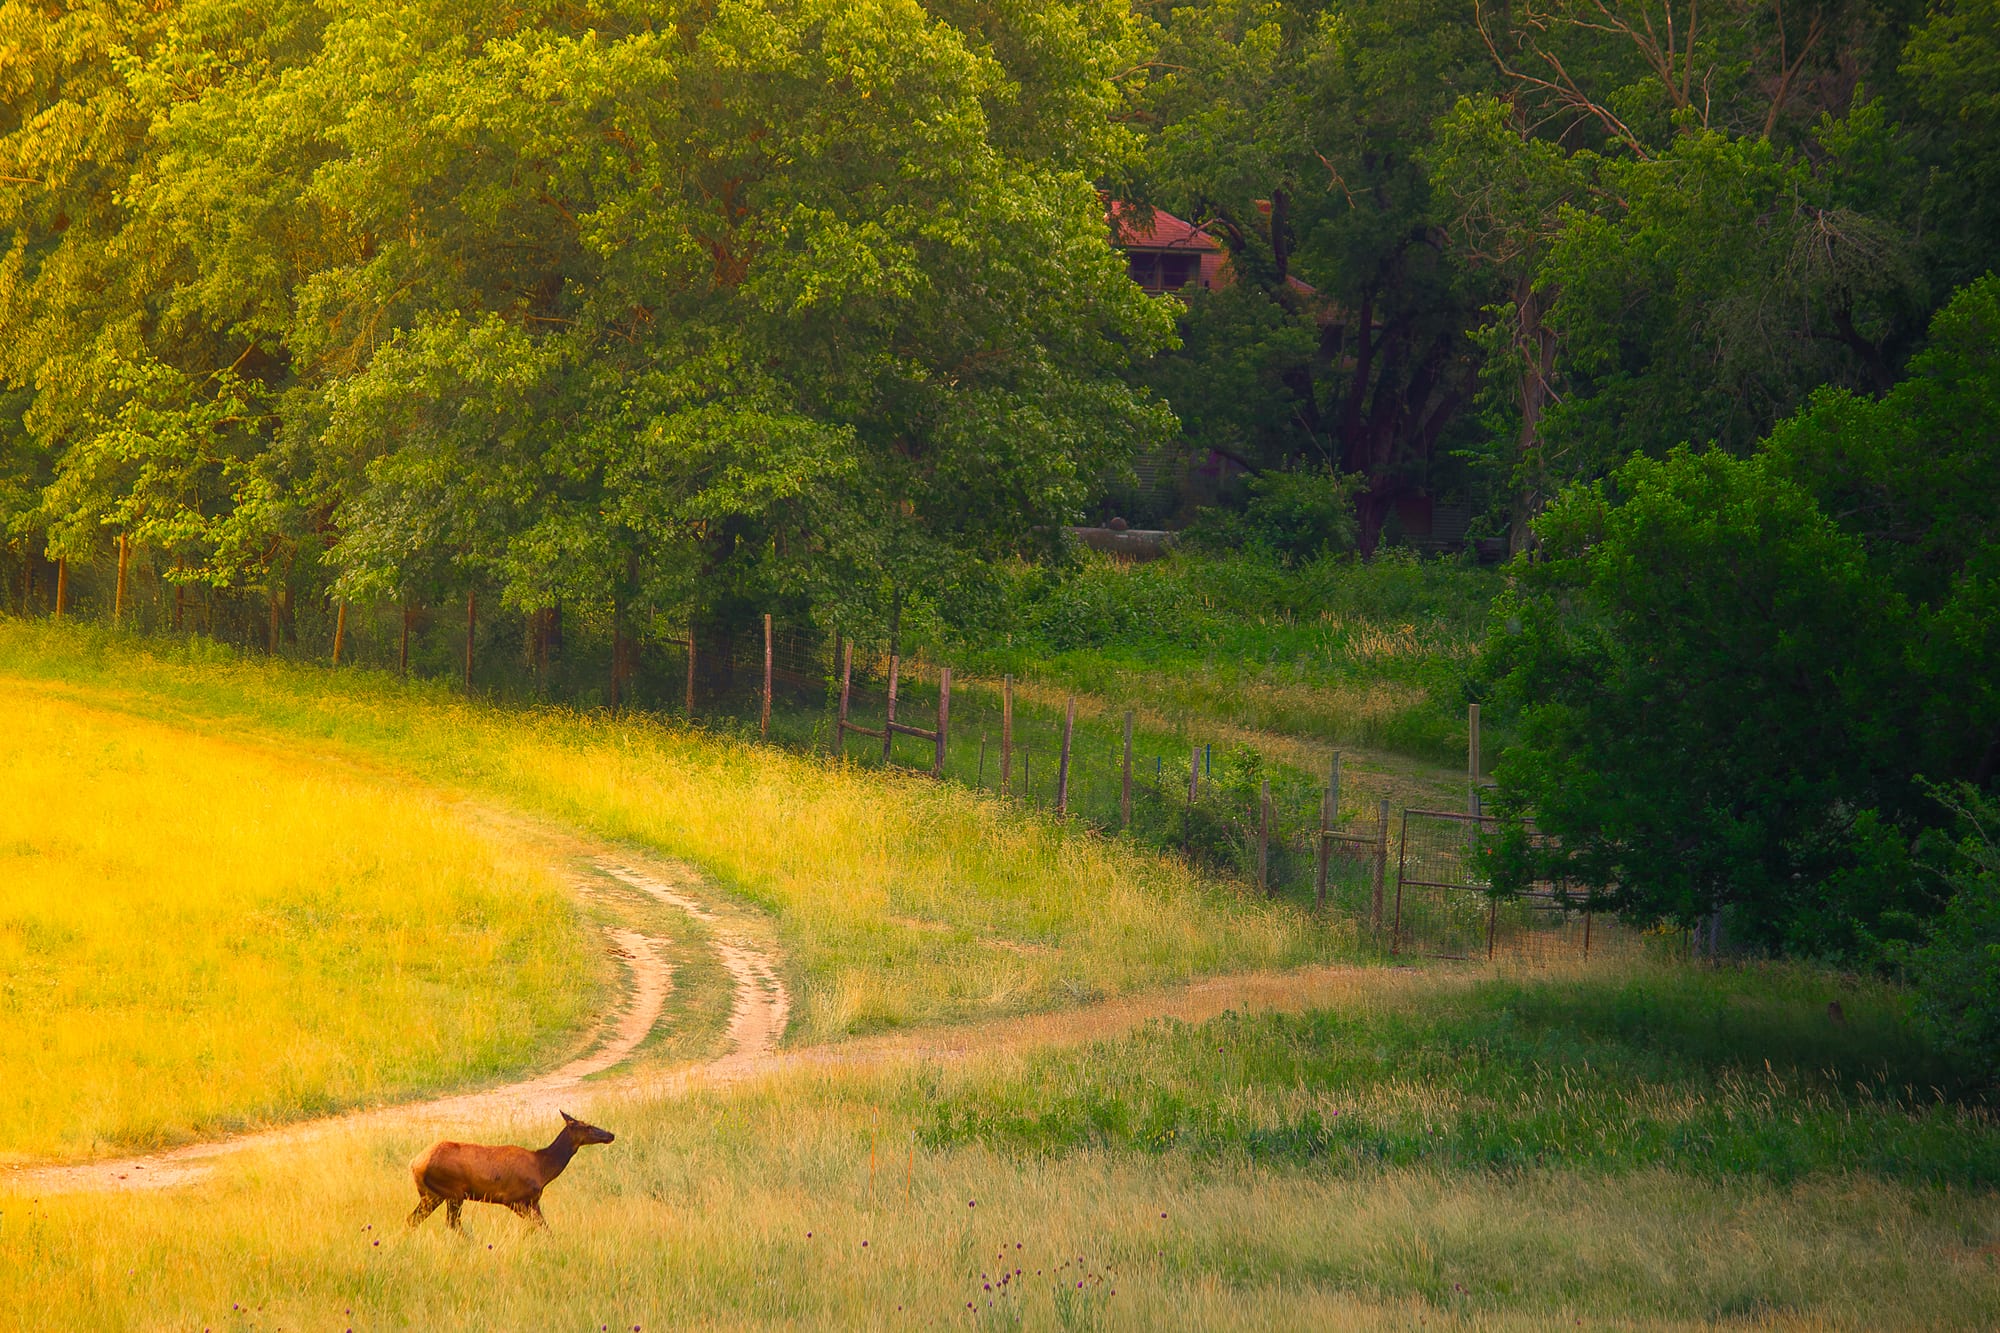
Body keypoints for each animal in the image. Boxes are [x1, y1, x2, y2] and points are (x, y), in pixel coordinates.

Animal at [407, 1111, 615, 1231]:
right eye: (587, 1126)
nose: (610, 1135)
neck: (543, 1169)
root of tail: (415, 1164)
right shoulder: (513, 1198)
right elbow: (542, 1228)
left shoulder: (533, 1201)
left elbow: (545, 1228)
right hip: (453, 1192)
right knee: (451, 1224)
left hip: (432, 1194)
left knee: (412, 1219)